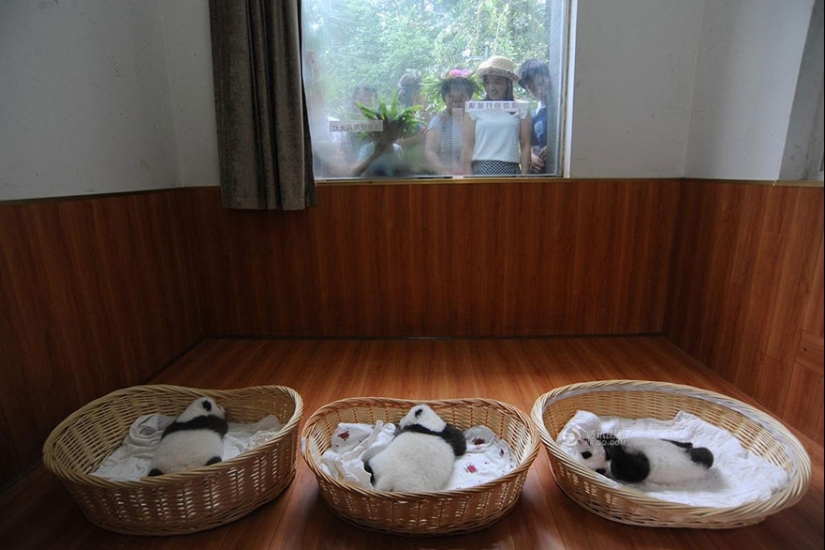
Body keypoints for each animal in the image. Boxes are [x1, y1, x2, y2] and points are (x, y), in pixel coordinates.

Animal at [572, 436, 716, 488]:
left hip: (674, 444)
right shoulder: (624, 471)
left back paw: (688, 444)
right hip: (697, 461)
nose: (580, 440)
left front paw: (605, 437)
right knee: (707, 455)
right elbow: (638, 468)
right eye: (586, 455)